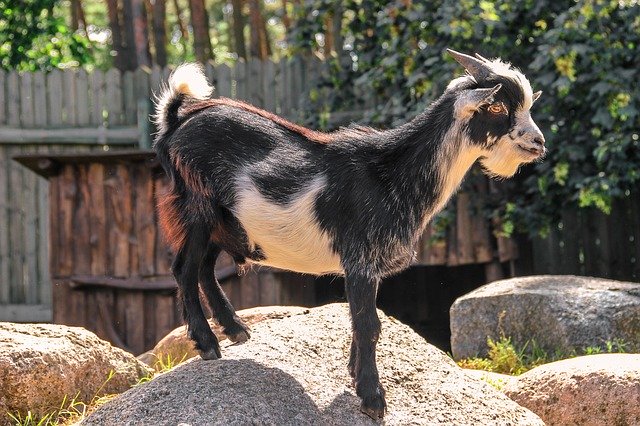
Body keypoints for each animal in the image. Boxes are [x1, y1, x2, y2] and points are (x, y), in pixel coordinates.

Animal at [151, 48, 544, 418]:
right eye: (496, 106)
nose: (538, 142)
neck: (392, 172)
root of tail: (176, 122)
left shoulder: (368, 265)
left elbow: (359, 322)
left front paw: (356, 377)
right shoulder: (360, 259)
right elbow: (369, 325)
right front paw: (372, 398)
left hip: (223, 221)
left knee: (204, 268)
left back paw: (235, 329)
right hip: (196, 208)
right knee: (184, 270)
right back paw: (207, 344)